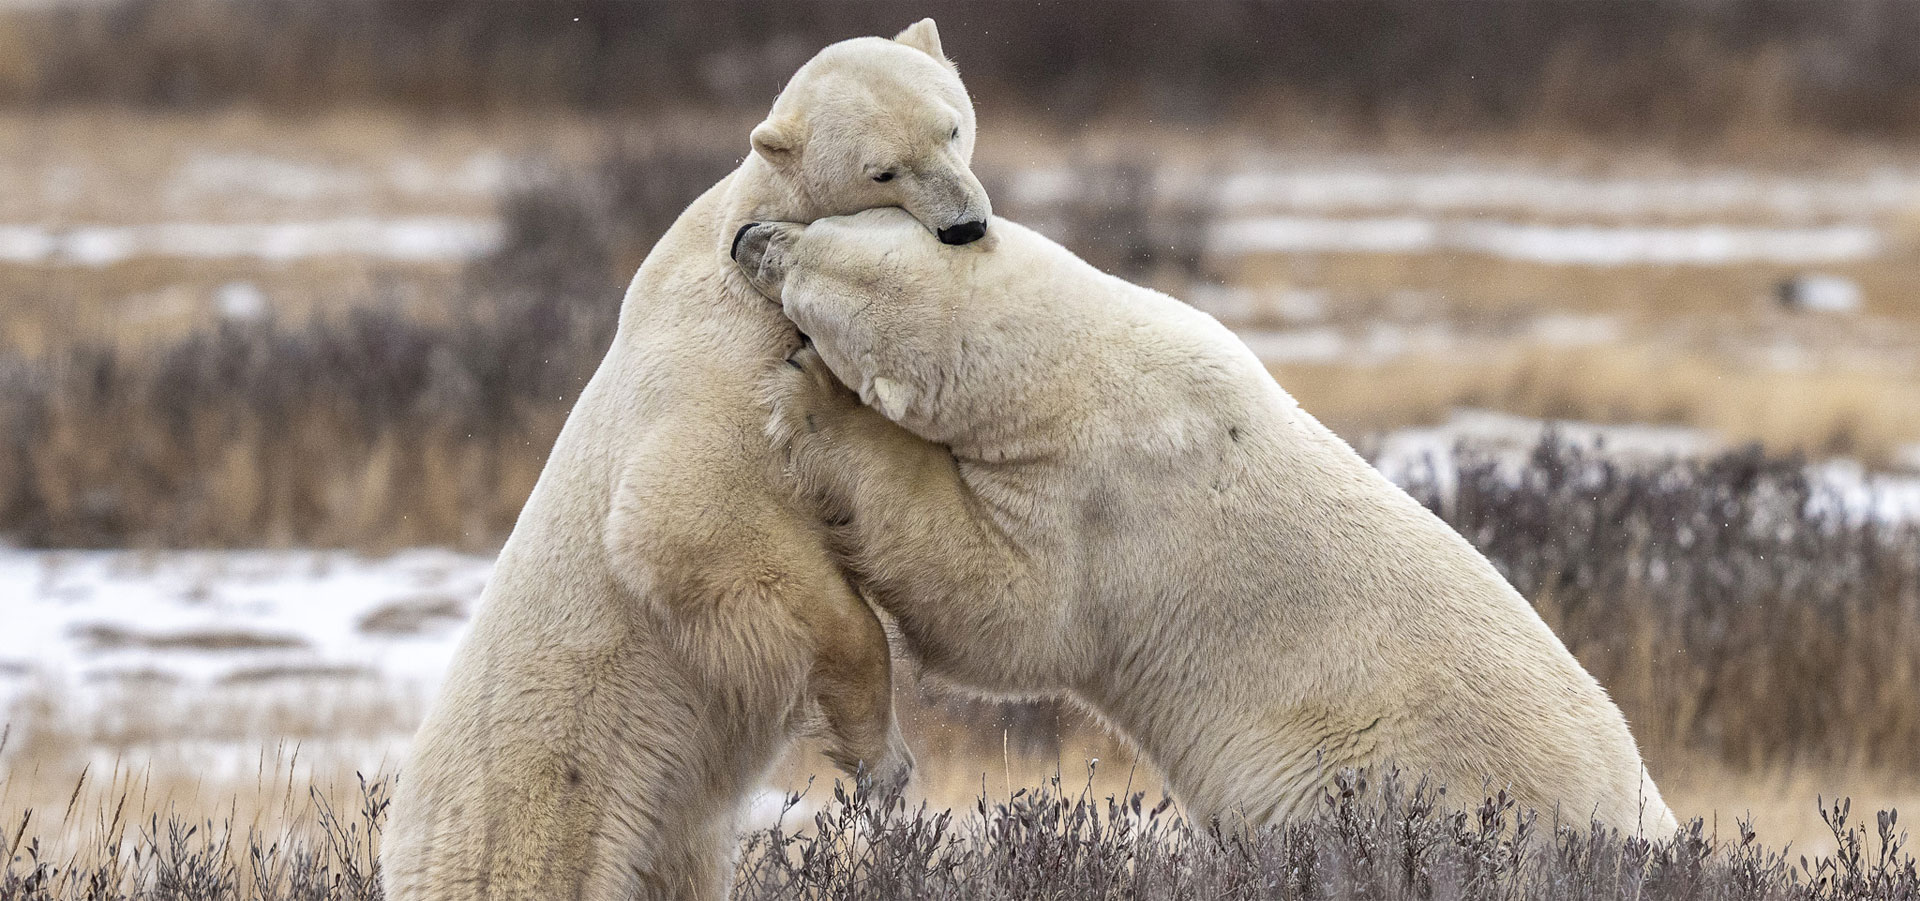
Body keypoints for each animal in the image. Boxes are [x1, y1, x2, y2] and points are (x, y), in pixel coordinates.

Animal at [384, 21, 998, 899]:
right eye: (882, 170)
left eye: (951, 126)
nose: (964, 226)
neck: (753, 235)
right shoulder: (718, 370)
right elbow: (687, 519)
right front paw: (883, 760)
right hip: (543, 803)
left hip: (664, 836)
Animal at [733, 210, 1681, 837]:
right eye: (831, 220)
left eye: (809, 279)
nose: (748, 239)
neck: (1081, 362)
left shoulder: (1108, 491)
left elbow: (1005, 612)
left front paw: (818, 402)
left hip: (1393, 785)